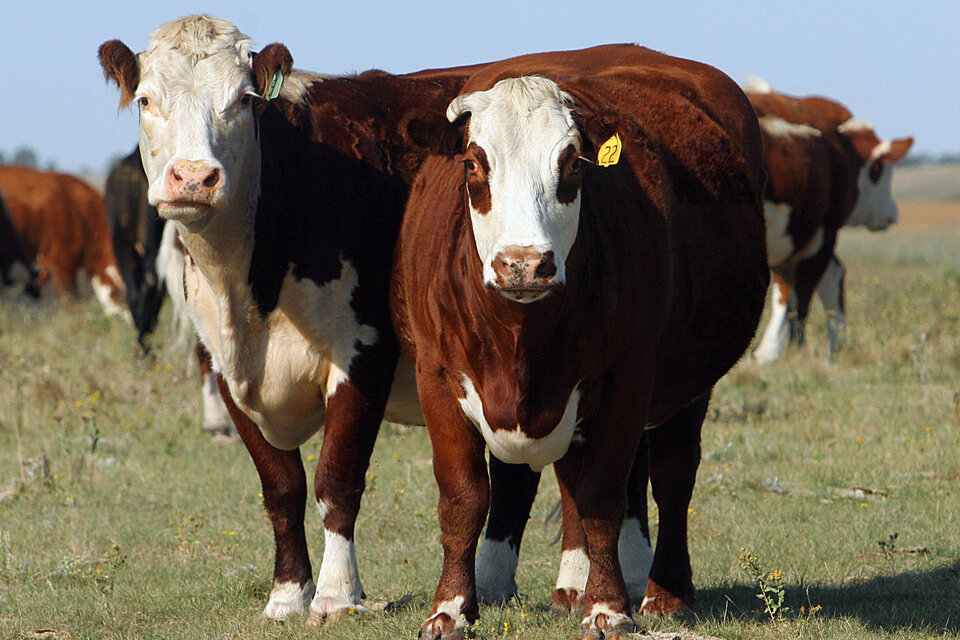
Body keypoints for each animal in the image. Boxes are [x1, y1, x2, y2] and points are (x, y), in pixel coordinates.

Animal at [388, 42, 764, 636]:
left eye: (571, 164)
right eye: (473, 163)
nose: (523, 264)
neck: (520, 337)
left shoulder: (627, 378)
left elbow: (605, 497)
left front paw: (608, 607)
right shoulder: (437, 378)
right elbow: (464, 498)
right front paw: (449, 608)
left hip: (689, 385)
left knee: (672, 477)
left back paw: (665, 593)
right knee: (570, 477)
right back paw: (570, 585)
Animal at [744, 80, 916, 362]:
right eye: (883, 170)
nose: (893, 213)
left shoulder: (810, 233)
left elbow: (794, 296)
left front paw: (785, 355)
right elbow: (799, 297)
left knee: (825, 277)